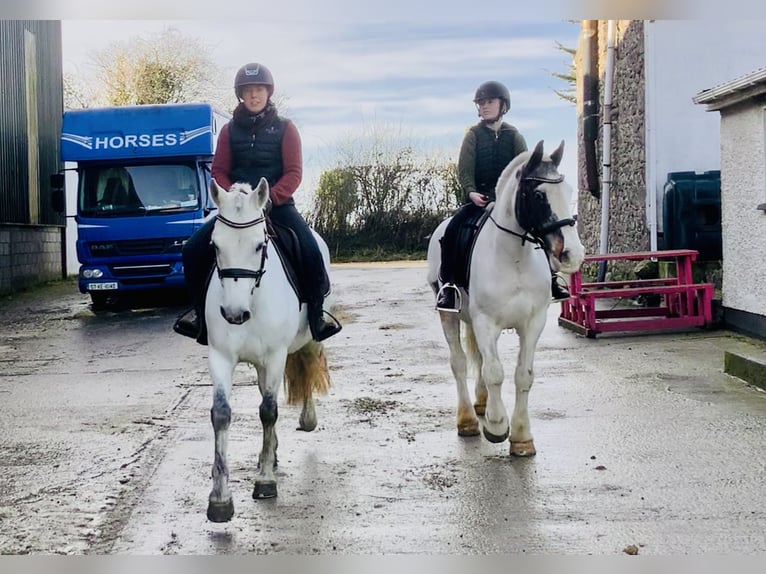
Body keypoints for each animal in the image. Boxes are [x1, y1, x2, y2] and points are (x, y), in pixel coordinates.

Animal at [426, 141, 588, 460]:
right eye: (538, 196)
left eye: (568, 191)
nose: (573, 255)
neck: (515, 258)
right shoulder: (485, 322)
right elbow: (495, 372)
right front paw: (498, 426)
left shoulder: (533, 323)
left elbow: (523, 375)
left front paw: (522, 437)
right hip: (450, 315)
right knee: (460, 363)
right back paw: (468, 419)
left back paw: (482, 405)